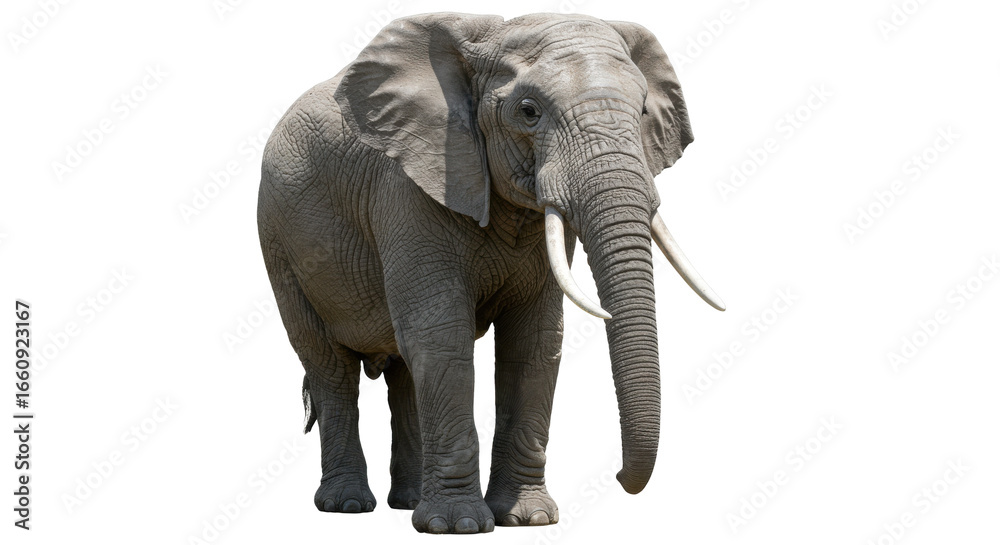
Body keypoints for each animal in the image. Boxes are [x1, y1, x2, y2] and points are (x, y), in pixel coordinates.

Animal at [256, 12, 724, 534]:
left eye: (643, 111)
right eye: (528, 112)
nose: (622, 477)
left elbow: (533, 343)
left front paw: (527, 519)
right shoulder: (410, 187)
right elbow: (442, 336)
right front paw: (457, 526)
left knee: (402, 371)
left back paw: (407, 502)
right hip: (279, 242)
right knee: (330, 367)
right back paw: (347, 506)